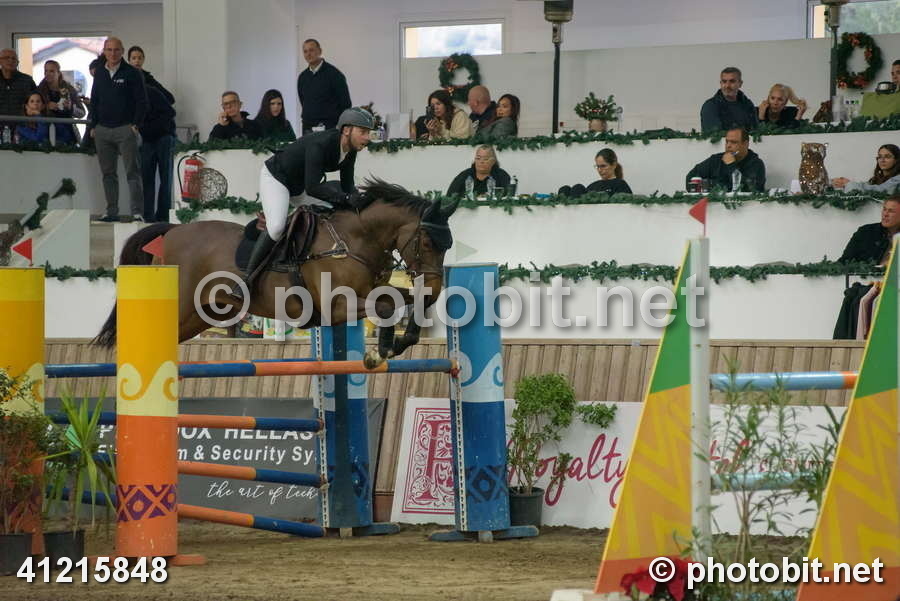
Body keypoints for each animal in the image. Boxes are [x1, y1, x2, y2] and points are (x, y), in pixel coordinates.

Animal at [94, 179, 459, 367]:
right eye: (428, 241)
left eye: (449, 244)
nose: (435, 286)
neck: (353, 239)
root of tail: (172, 231)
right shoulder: (336, 304)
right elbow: (386, 304)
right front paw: (378, 352)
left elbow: (403, 300)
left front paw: (398, 343)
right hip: (182, 305)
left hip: (201, 314)